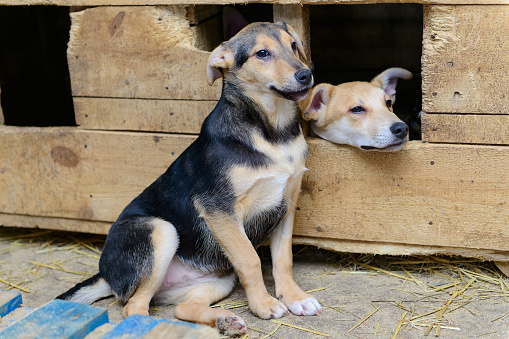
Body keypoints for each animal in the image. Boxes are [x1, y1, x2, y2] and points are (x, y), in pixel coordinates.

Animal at [57, 21, 320, 338]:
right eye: (262, 53)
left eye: (293, 45)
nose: (306, 75)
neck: (273, 131)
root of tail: (105, 274)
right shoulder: (219, 208)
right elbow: (251, 259)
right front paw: (264, 304)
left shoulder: (286, 204)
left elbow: (283, 259)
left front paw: (295, 298)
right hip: (160, 230)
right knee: (133, 307)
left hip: (217, 278)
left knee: (181, 308)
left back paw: (224, 321)